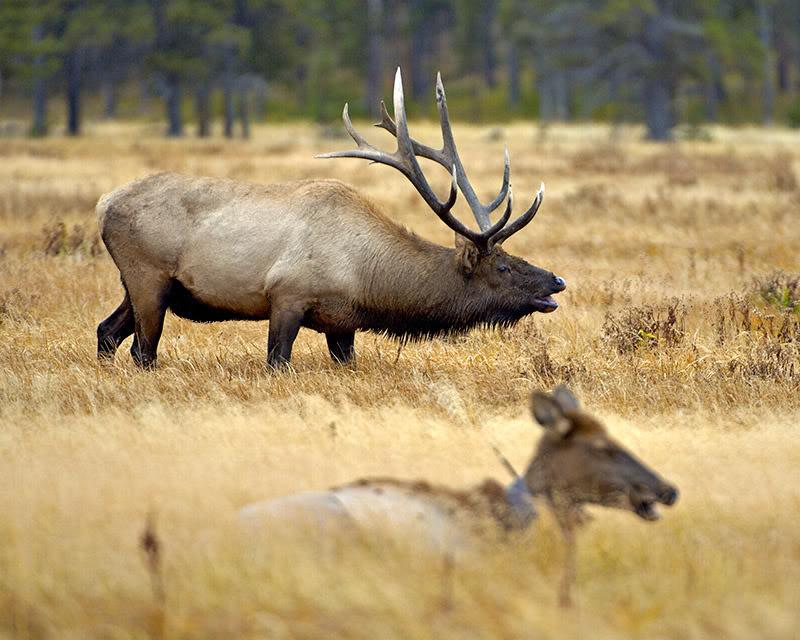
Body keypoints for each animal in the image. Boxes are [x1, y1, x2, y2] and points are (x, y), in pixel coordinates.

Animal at [97, 67, 564, 368]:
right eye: (503, 266)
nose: (556, 281)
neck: (366, 279)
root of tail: (104, 204)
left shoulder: (343, 324)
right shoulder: (287, 295)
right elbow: (276, 361)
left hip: (138, 285)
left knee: (106, 331)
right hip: (147, 276)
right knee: (142, 351)